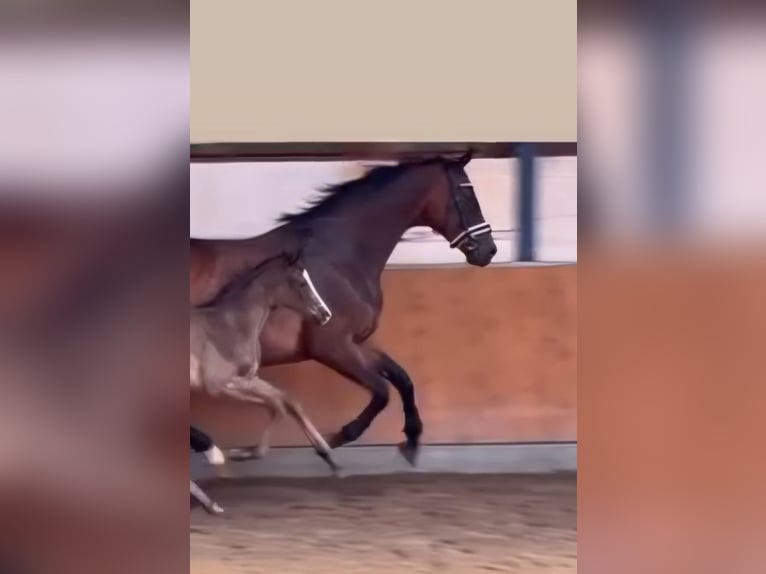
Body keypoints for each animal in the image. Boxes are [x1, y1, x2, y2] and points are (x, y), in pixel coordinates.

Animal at [190, 249, 340, 473]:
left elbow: (287, 400)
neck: (230, 326)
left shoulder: (248, 379)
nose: (326, 314)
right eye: (302, 283)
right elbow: (277, 403)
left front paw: (326, 452)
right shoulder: (220, 383)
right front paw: (246, 453)